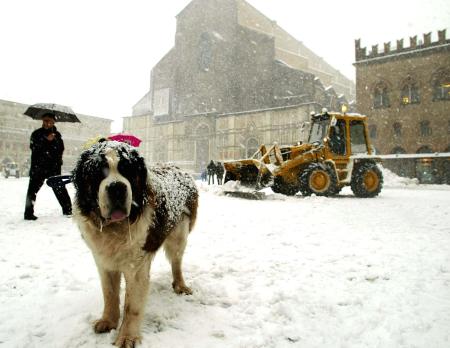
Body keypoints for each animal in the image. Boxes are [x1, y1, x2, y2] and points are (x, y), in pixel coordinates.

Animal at [72, 140, 199, 346]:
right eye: (99, 171)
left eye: (128, 170)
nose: (116, 187)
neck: (115, 228)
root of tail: (178, 168)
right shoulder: (103, 261)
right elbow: (109, 293)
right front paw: (108, 321)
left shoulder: (136, 265)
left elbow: (132, 306)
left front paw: (127, 337)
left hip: (179, 235)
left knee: (176, 262)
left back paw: (180, 285)